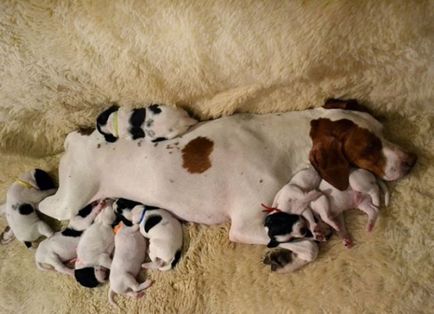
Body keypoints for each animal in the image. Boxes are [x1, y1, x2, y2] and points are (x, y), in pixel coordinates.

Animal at [40, 99, 418, 272]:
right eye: (368, 148)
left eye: (383, 130)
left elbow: (306, 242)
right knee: (49, 206)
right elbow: (309, 247)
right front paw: (290, 256)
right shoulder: (247, 226)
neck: (284, 141)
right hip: (70, 198)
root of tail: (78, 139)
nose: (412, 160)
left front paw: (286, 257)